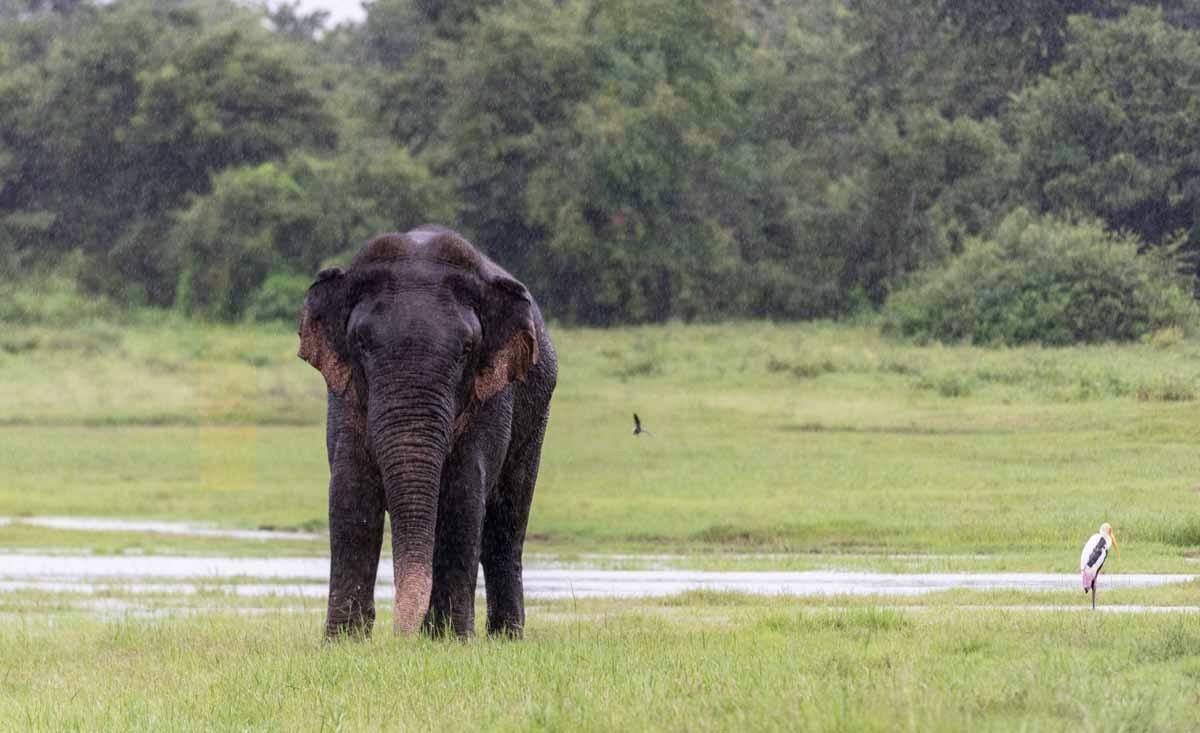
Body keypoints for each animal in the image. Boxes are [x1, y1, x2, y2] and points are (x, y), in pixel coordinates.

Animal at [302, 226, 559, 638]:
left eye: (466, 349)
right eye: (361, 343)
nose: (400, 636)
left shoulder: (493, 393)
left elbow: (462, 493)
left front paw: (450, 640)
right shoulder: (344, 391)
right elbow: (350, 491)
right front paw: (343, 640)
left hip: (536, 415)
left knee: (506, 523)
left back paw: (506, 638)